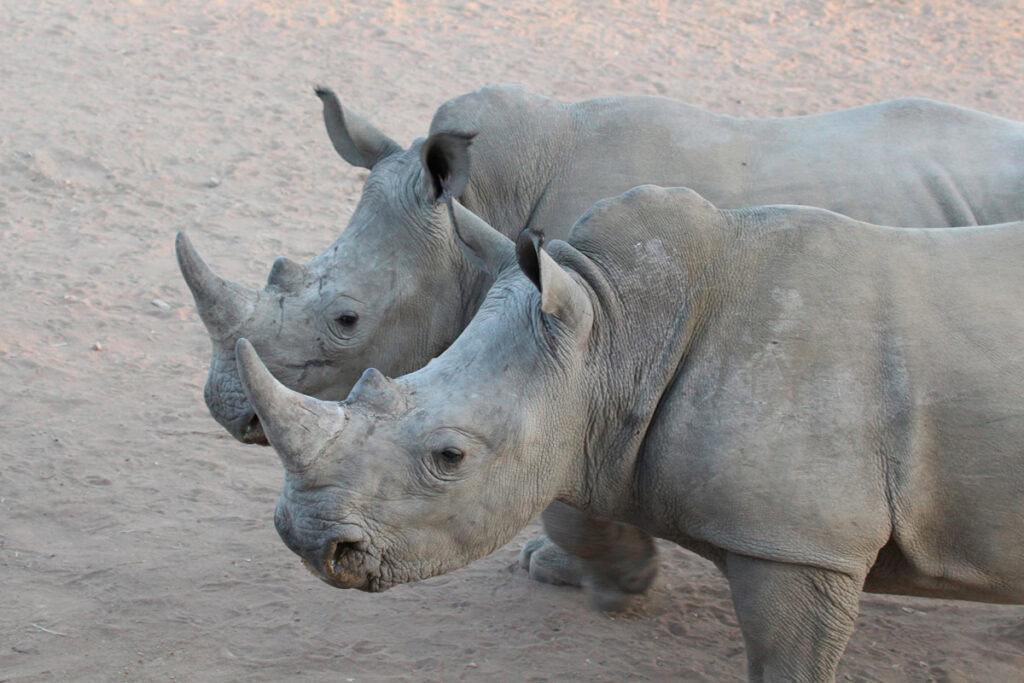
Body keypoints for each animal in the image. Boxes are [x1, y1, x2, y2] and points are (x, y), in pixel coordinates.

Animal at [178, 85, 1024, 602]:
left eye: (346, 320)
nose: (223, 405)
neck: (481, 206)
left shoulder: (583, 351)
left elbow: (564, 497)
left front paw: (600, 578)